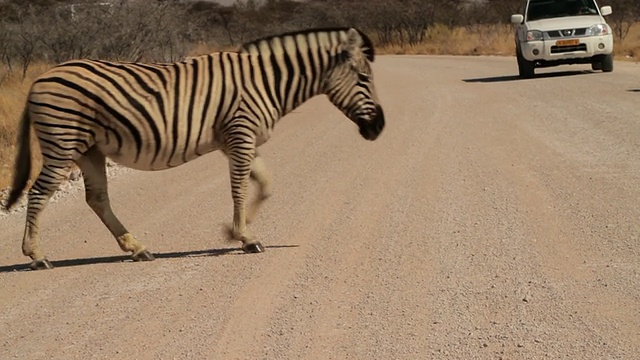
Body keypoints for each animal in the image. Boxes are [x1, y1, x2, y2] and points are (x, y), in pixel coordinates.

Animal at [3, 27, 384, 270]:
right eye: (364, 79)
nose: (379, 128)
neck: (267, 81)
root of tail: (39, 79)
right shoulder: (240, 134)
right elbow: (240, 188)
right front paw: (245, 236)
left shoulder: (239, 138)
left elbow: (265, 185)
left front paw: (237, 231)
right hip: (63, 142)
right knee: (38, 193)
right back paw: (37, 256)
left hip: (89, 149)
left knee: (96, 198)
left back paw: (137, 248)